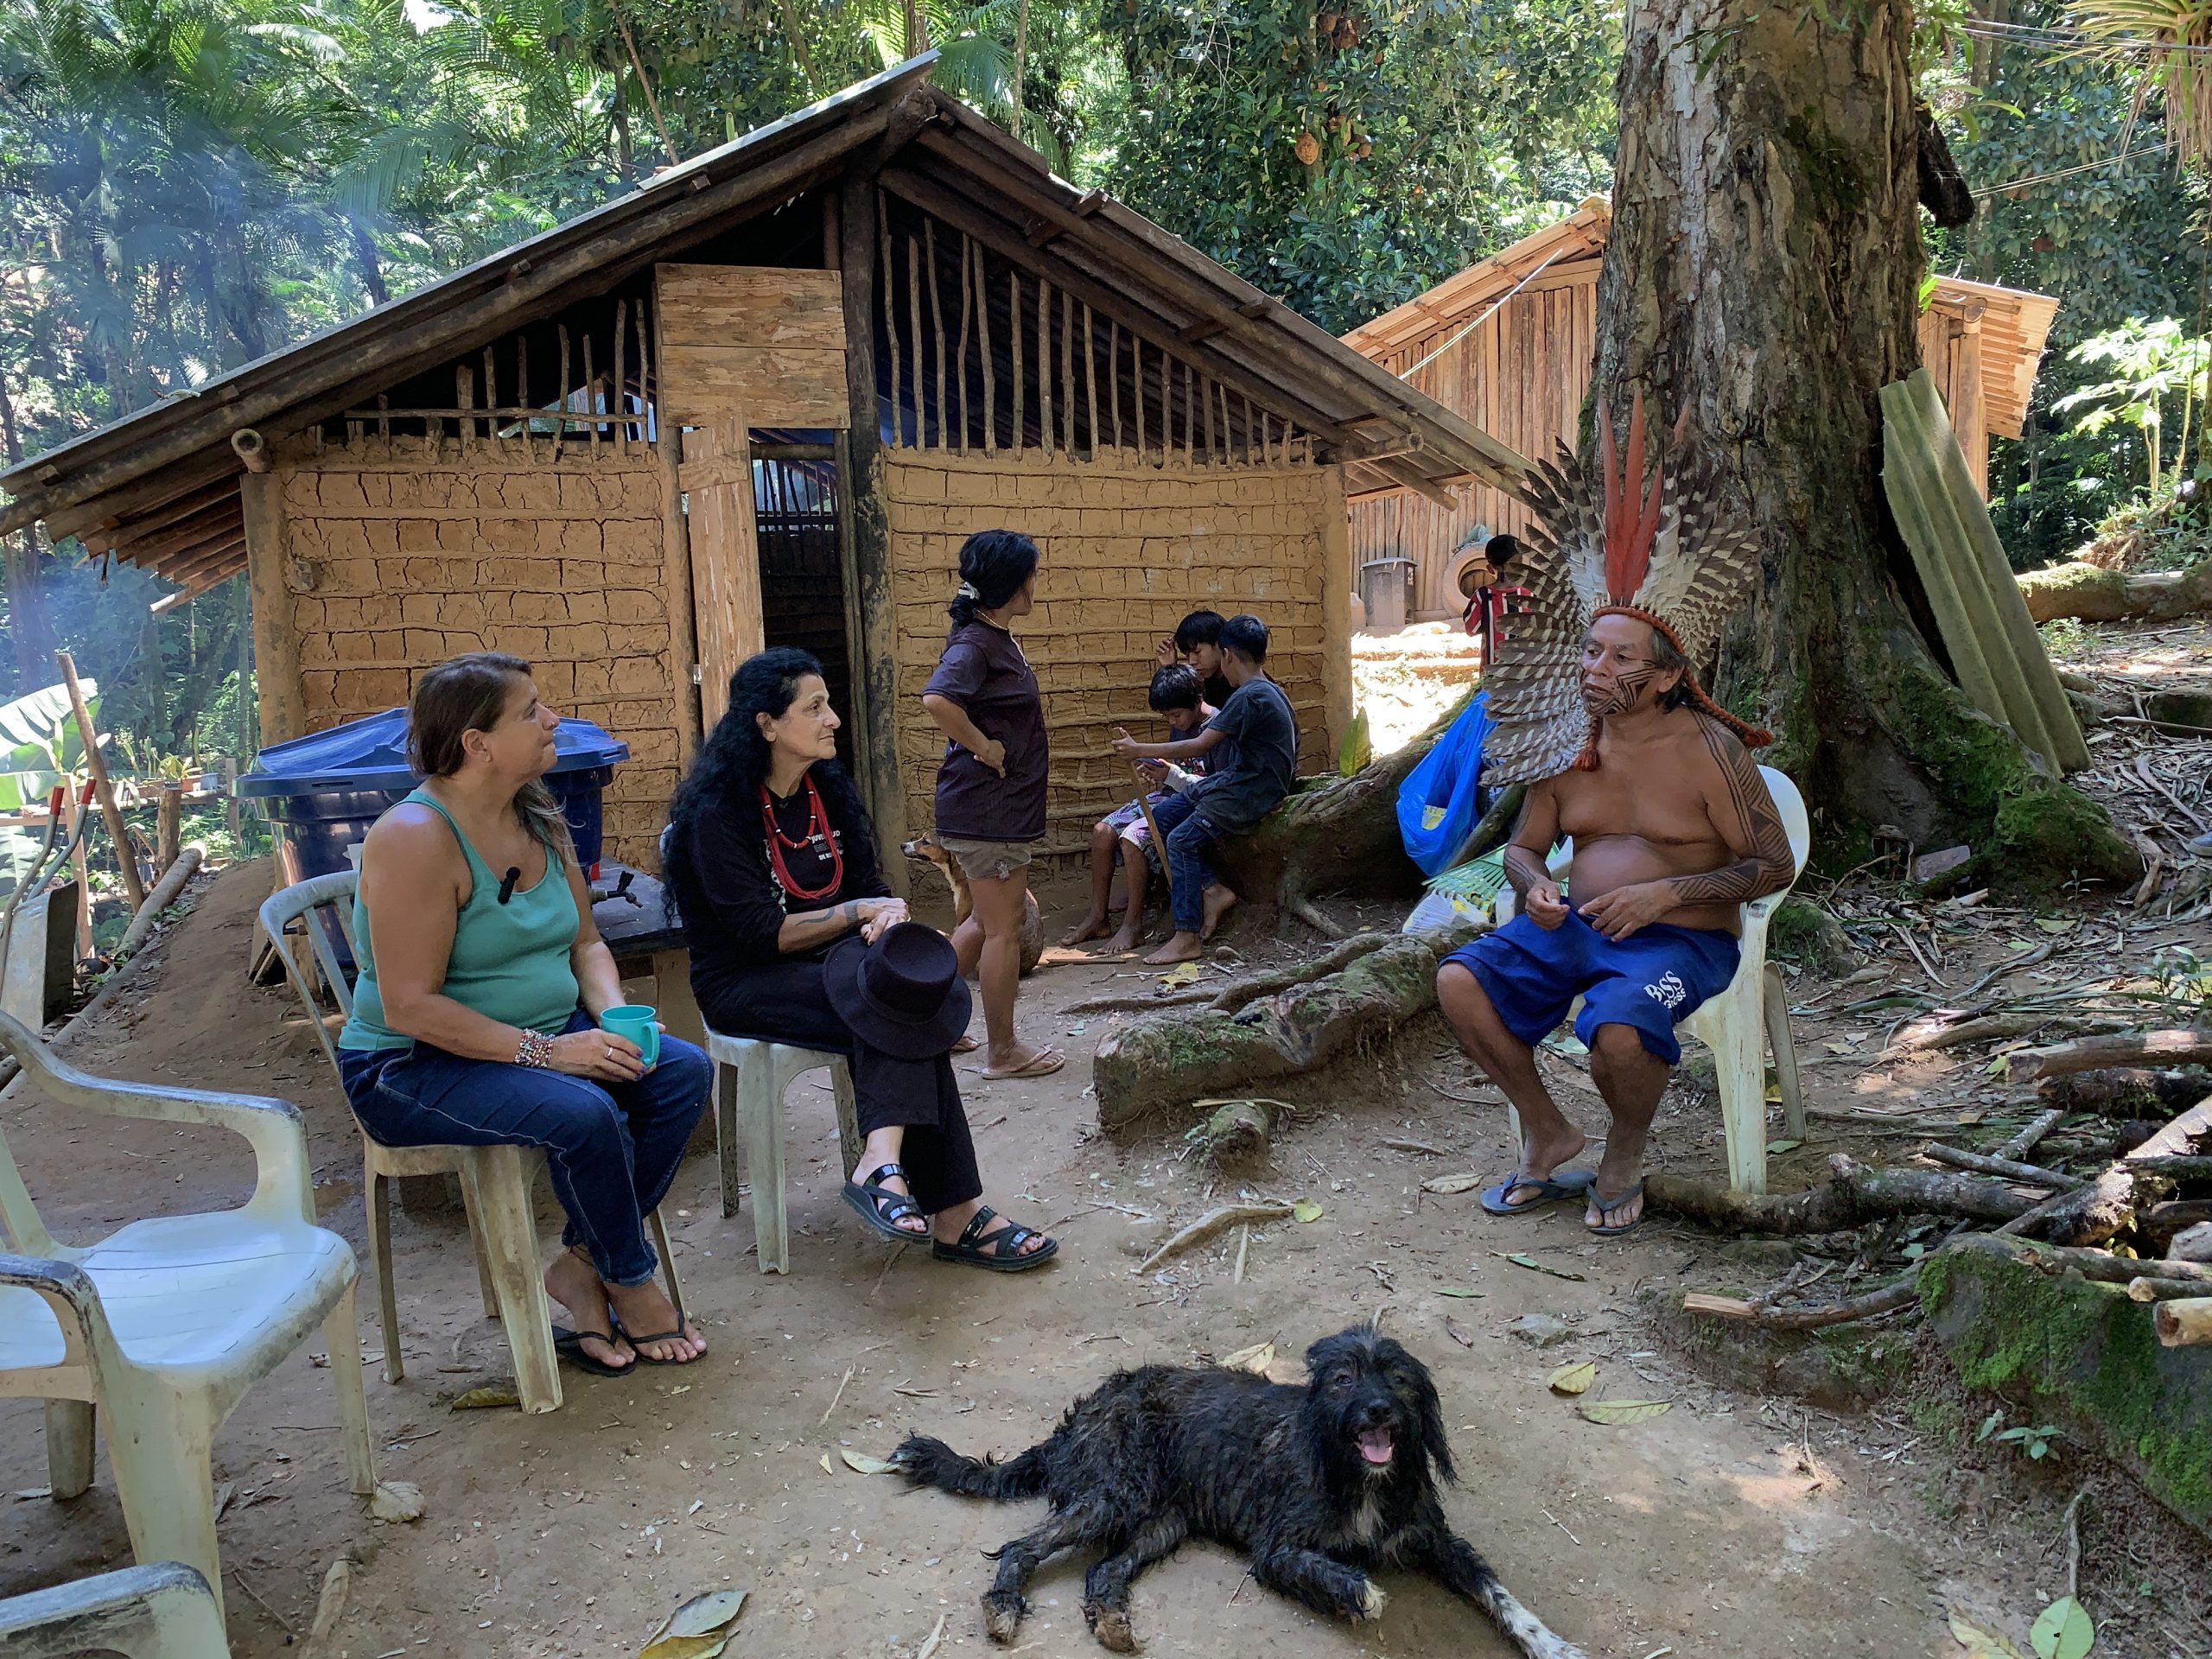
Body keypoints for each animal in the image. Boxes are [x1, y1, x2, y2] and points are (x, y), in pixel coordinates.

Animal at [889, 1327, 1583, 1659]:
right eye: (1342, 1379)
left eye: (1399, 1379)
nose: (1379, 1411)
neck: (1361, 1478)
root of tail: (1083, 1411)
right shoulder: (1277, 1550)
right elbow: (1347, 1577)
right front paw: (1361, 1593)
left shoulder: (1434, 1540)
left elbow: (1499, 1594)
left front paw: (1551, 1644)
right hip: (1113, 1495)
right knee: (1020, 1547)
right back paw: (1004, 1607)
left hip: (1161, 1523)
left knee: (1102, 1573)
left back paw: (1113, 1623)